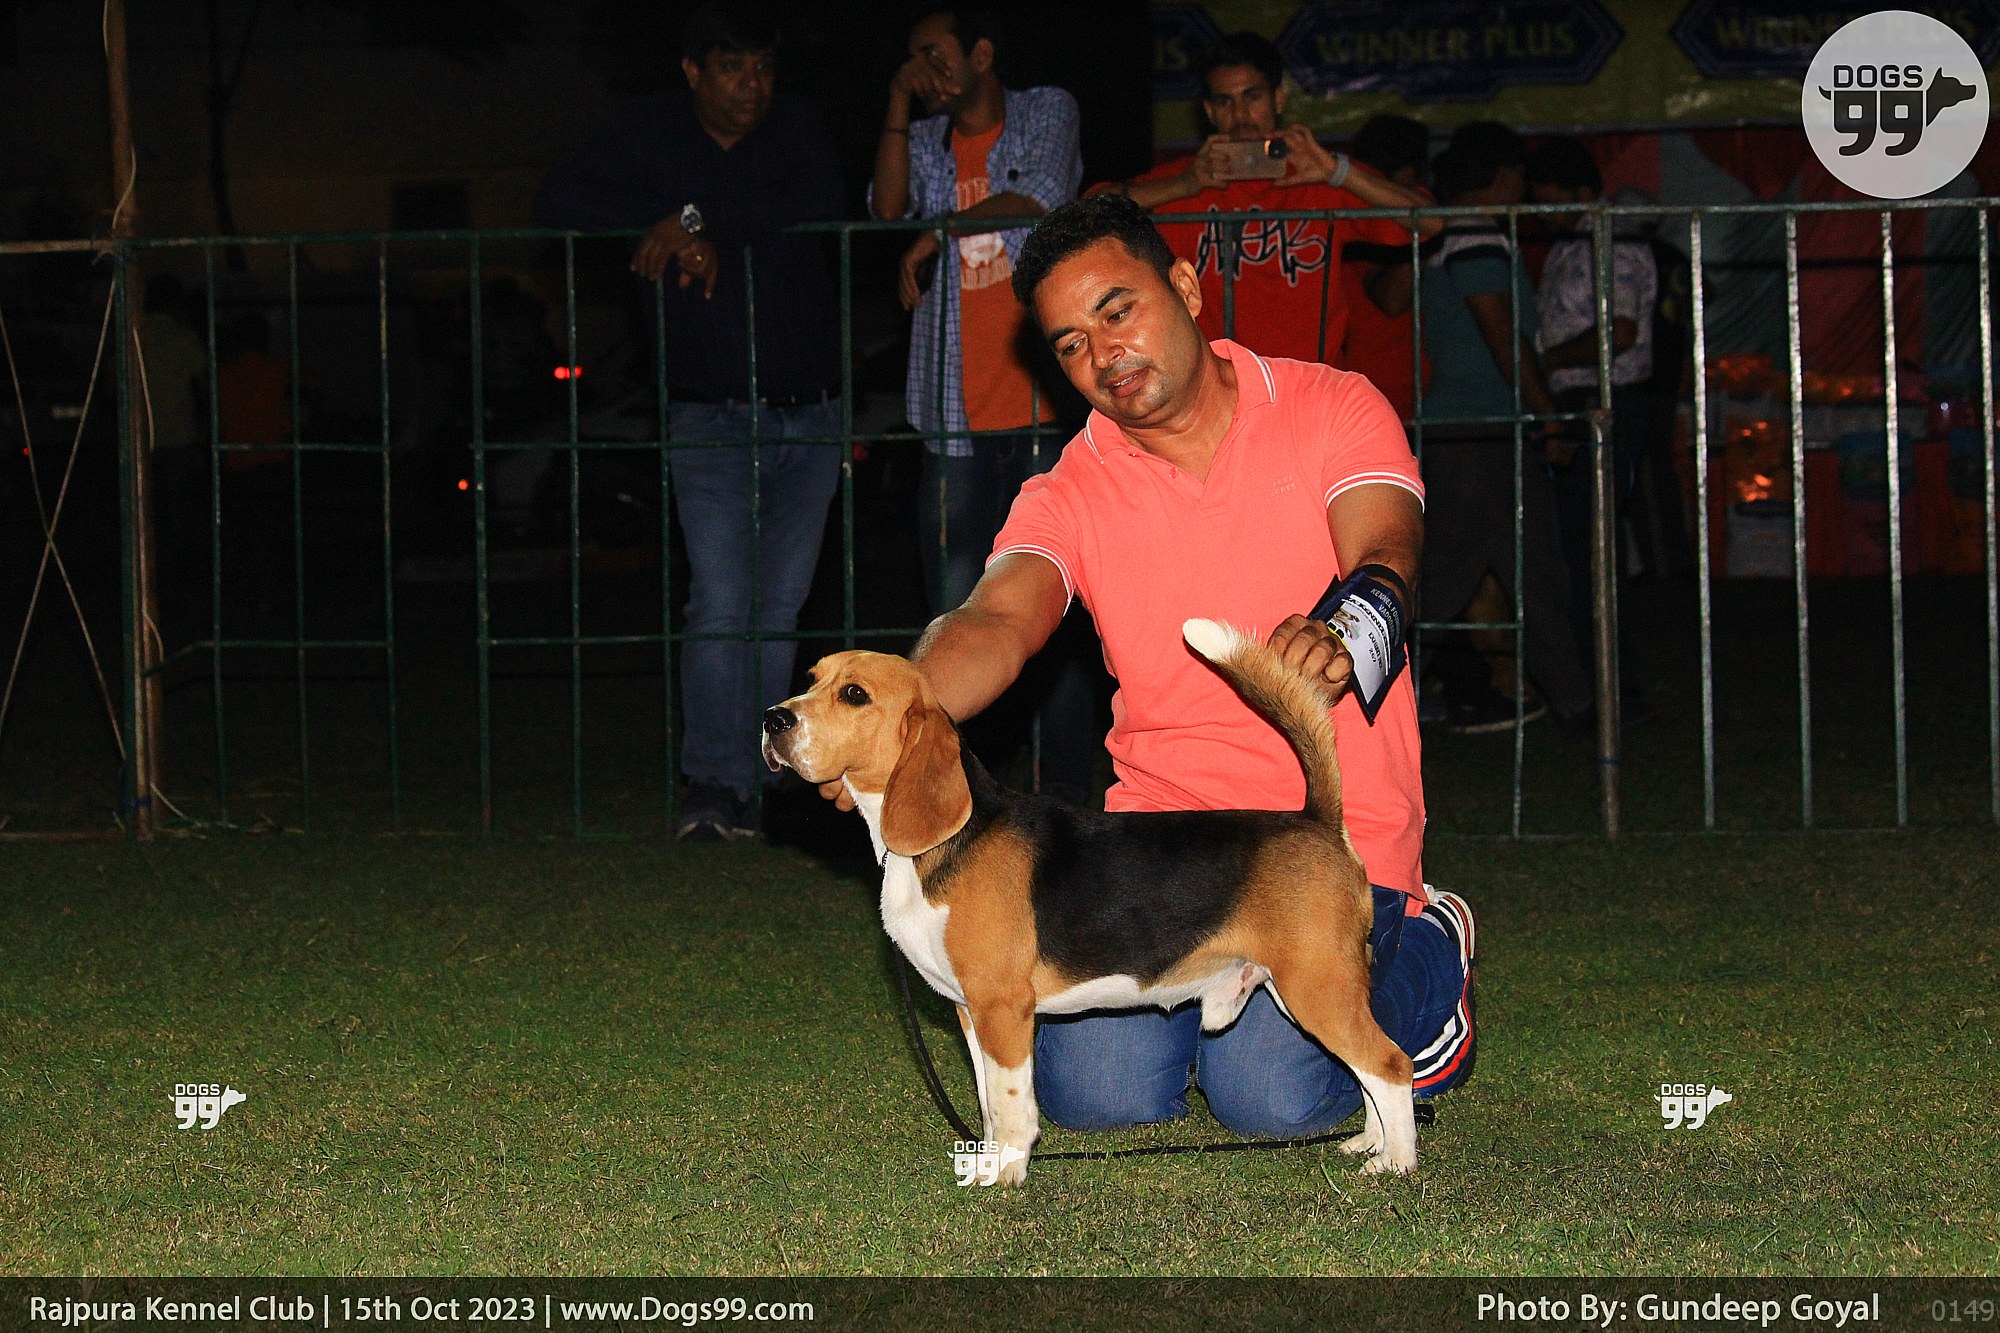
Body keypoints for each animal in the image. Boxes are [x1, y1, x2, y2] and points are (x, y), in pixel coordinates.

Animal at [760, 618, 1416, 1185]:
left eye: (854, 694)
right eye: (812, 677)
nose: (772, 719)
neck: (945, 842)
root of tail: (1318, 820)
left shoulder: (1003, 1009)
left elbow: (1012, 1104)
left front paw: (1008, 1172)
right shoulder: (970, 1011)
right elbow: (989, 1103)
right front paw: (988, 1160)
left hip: (1317, 985)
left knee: (1391, 1064)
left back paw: (1396, 1161)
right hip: (1307, 988)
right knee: (1367, 1069)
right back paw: (1370, 1141)